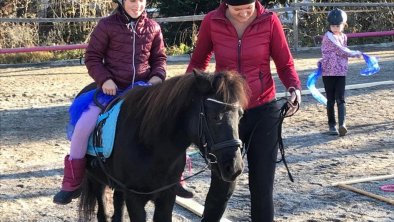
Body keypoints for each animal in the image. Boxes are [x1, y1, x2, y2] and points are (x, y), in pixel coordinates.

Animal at [78, 70, 248, 222]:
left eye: (240, 115)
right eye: (215, 117)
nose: (234, 167)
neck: (150, 146)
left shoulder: (167, 196)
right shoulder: (134, 199)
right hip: (96, 179)